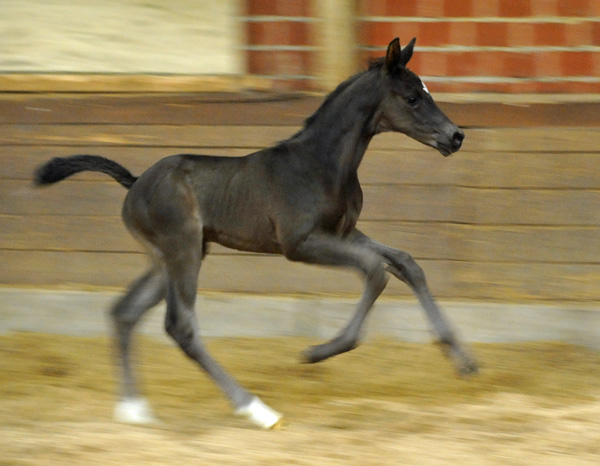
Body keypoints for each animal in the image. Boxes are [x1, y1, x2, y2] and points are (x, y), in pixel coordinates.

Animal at [36, 38, 478, 428]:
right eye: (412, 98)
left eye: (425, 91)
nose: (456, 136)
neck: (320, 163)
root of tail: (134, 183)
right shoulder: (301, 243)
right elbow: (374, 271)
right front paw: (319, 352)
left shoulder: (344, 232)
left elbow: (405, 263)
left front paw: (463, 359)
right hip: (183, 252)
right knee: (180, 326)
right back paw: (256, 410)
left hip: (171, 257)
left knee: (125, 312)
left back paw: (134, 410)